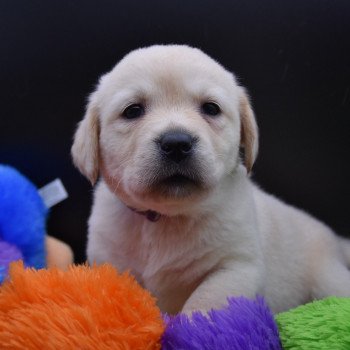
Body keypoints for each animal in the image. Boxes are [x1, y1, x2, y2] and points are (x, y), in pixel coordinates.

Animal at [72, 44, 350, 314]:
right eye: (133, 111)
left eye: (211, 108)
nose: (176, 143)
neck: (166, 218)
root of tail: (336, 243)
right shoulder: (109, 262)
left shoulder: (237, 266)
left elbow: (202, 305)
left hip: (327, 277)